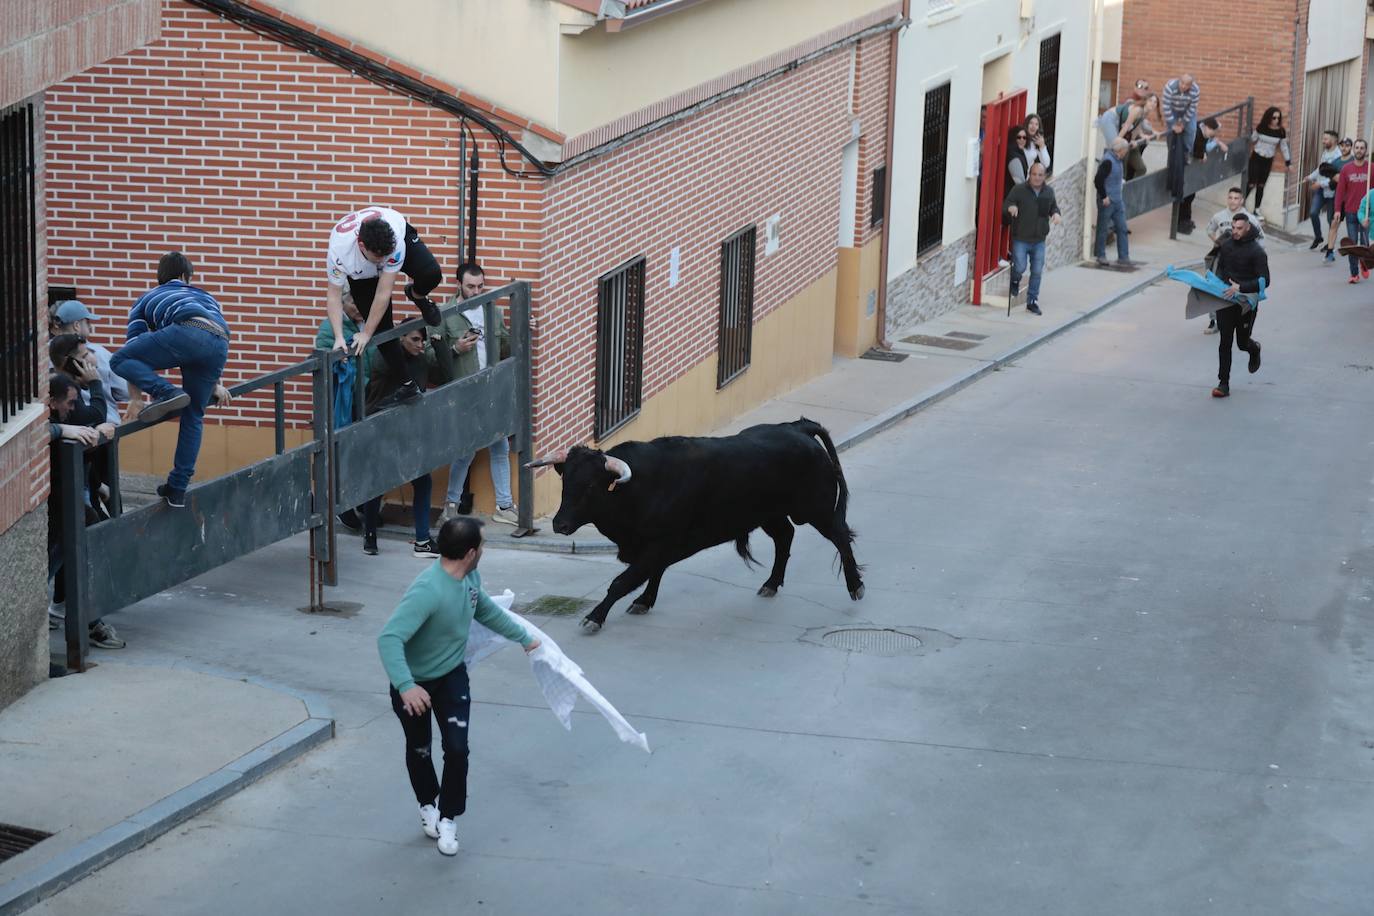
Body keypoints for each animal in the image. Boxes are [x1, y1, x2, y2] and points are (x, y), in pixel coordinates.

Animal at [524, 420, 857, 634]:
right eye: (566, 481)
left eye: (591, 486)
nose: (560, 523)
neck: (639, 487)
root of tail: (798, 428)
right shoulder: (657, 545)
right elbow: (652, 573)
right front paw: (644, 601)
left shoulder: (659, 543)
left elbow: (623, 581)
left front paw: (595, 617)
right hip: (769, 514)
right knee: (785, 536)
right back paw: (771, 584)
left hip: (815, 509)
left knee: (840, 536)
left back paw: (856, 586)